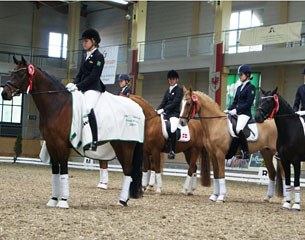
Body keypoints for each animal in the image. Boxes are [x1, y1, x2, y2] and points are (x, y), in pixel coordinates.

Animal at [0, 56, 142, 208]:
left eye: (21, 74)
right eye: (12, 73)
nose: (4, 93)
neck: (57, 105)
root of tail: (138, 108)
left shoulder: (61, 144)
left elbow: (63, 169)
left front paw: (63, 201)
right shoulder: (51, 143)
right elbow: (55, 170)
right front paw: (53, 199)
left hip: (126, 146)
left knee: (128, 171)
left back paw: (122, 201)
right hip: (118, 146)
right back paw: (124, 200)